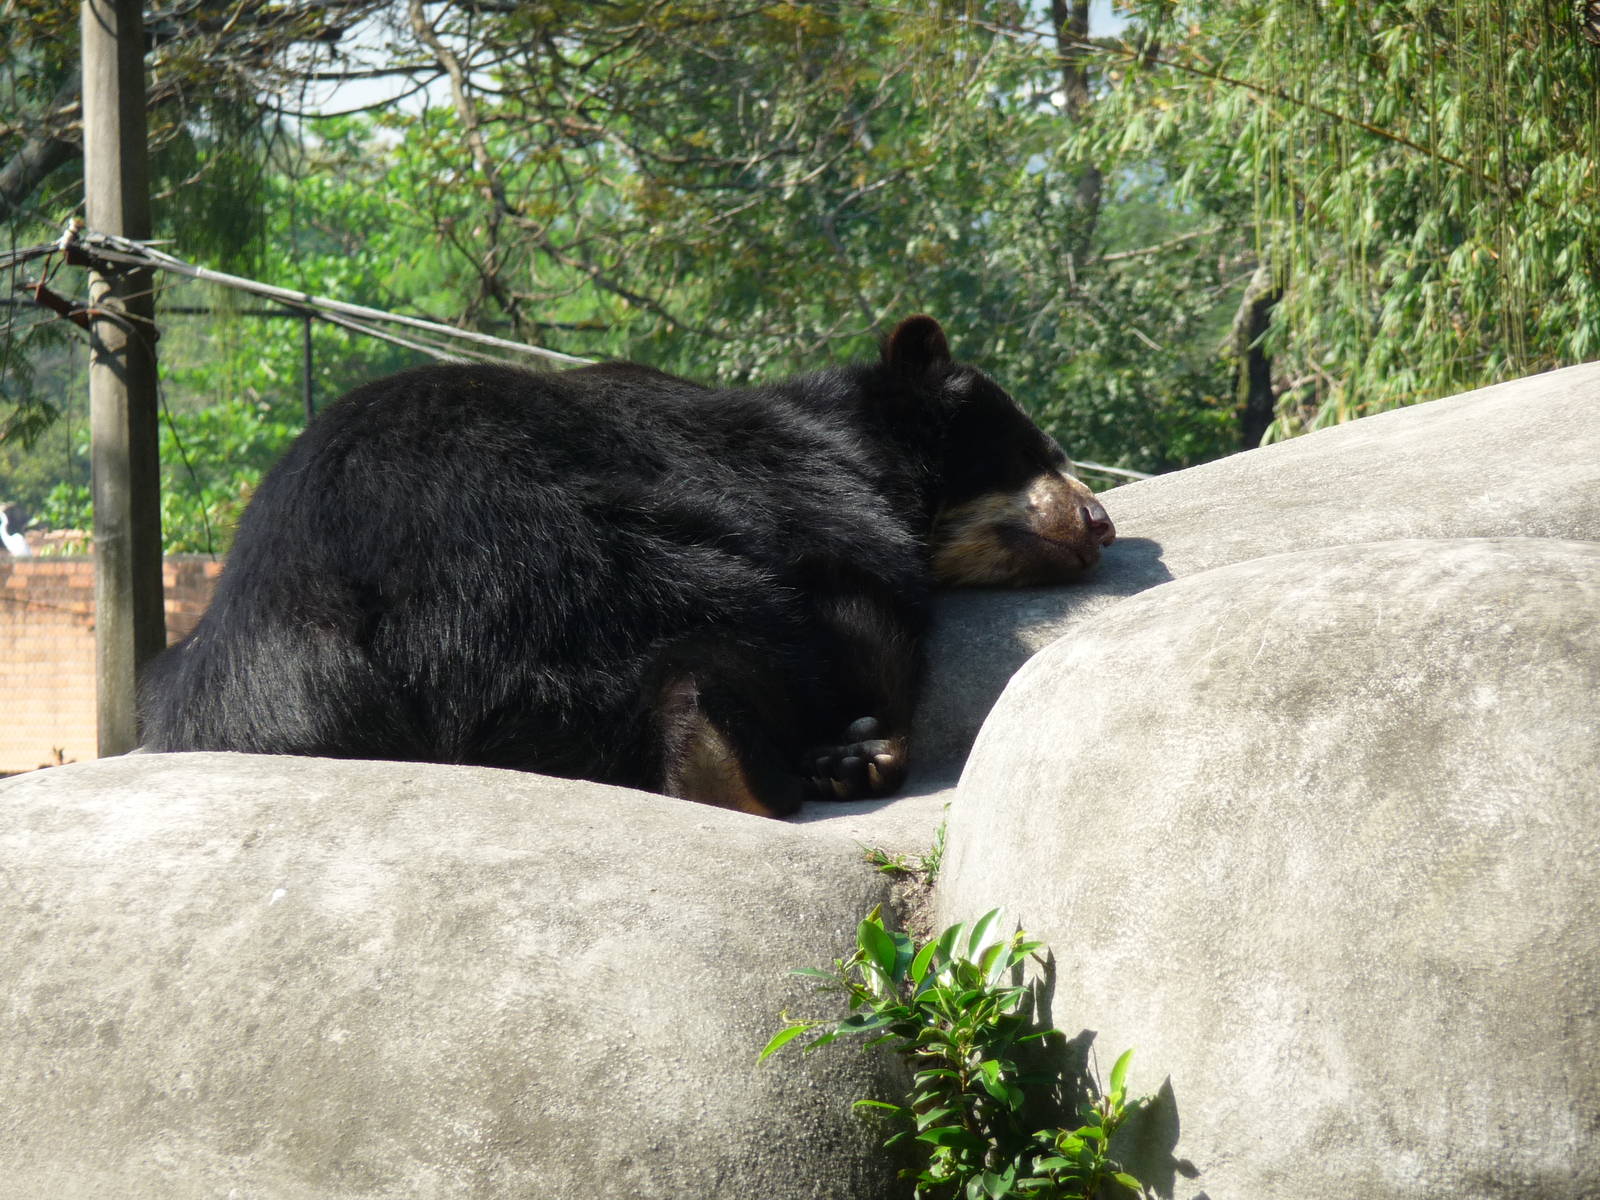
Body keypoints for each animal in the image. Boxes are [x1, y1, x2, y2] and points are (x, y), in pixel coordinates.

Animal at [138, 316, 1115, 817]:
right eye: (1037, 452)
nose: (1099, 521)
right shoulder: (797, 493)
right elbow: (862, 609)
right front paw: (853, 747)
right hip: (558, 558)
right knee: (725, 618)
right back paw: (729, 748)